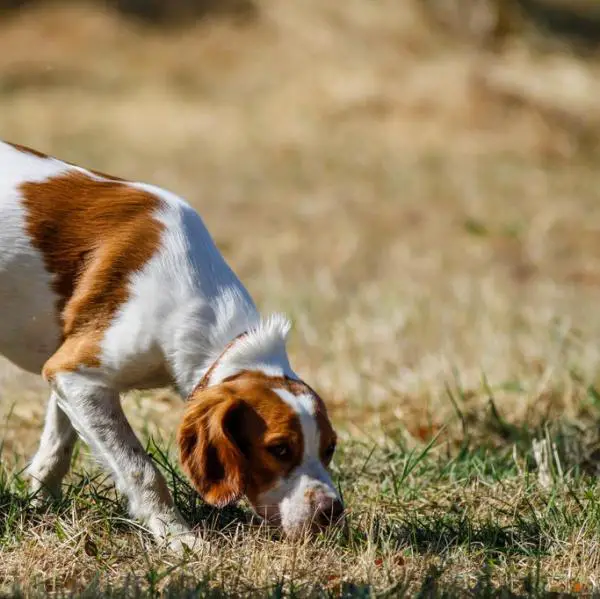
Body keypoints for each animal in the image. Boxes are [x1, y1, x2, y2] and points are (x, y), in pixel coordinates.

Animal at [0, 139, 344, 548]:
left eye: (330, 448)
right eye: (279, 449)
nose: (331, 511)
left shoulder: (70, 368)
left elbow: (57, 444)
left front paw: (42, 505)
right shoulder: (77, 375)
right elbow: (141, 469)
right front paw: (177, 537)